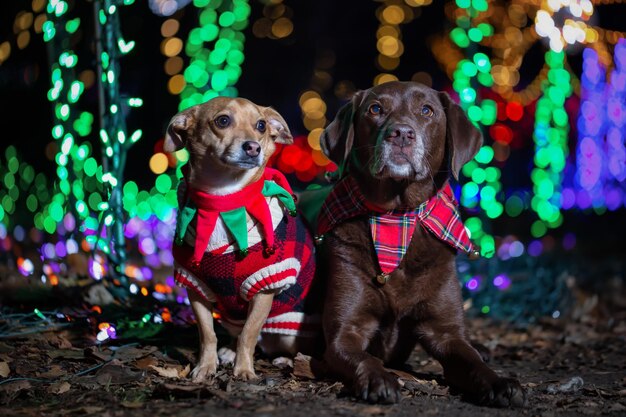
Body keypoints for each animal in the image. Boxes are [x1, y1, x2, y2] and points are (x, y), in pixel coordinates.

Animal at [165, 96, 316, 380]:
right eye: (223, 120)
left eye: (261, 126)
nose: (253, 147)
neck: (223, 202)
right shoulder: (194, 285)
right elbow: (208, 334)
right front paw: (206, 366)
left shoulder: (264, 287)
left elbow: (249, 333)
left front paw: (244, 370)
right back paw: (228, 352)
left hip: (290, 329)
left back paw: (285, 360)